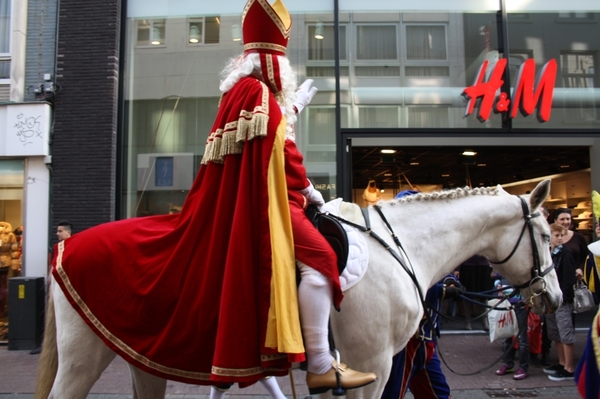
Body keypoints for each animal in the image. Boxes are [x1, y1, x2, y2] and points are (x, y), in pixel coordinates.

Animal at [34, 181, 564, 399]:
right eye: (542, 233)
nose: (554, 298)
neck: (403, 247)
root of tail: (63, 248)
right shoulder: (372, 364)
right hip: (83, 358)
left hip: (143, 358)